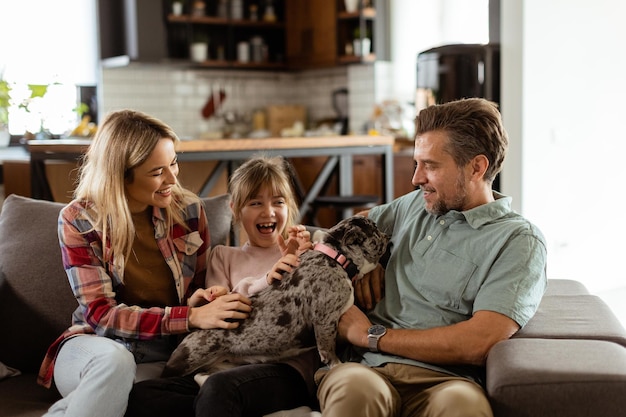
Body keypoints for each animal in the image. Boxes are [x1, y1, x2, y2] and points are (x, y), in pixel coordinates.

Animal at [161, 214, 388, 376]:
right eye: (375, 229)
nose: (387, 235)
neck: (336, 257)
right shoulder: (325, 320)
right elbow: (328, 349)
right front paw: (337, 365)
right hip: (187, 359)